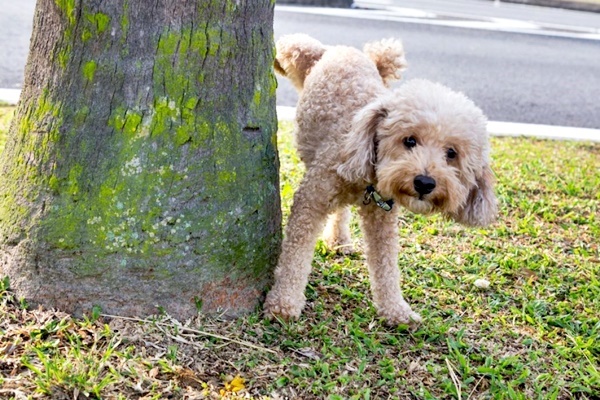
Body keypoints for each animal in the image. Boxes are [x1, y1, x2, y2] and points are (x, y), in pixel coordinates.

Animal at [266, 34, 496, 324]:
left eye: (451, 153)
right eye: (409, 140)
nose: (425, 183)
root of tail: (345, 50)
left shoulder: (382, 218)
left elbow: (386, 265)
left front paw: (396, 310)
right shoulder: (311, 200)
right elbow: (295, 254)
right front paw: (284, 302)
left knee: (341, 212)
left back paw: (339, 239)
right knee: (294, 43)